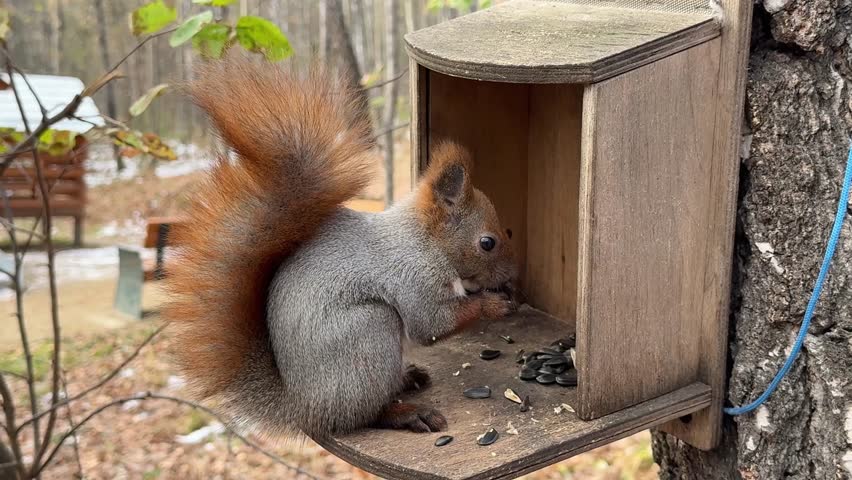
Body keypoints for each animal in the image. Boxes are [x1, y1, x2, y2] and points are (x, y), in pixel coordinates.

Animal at [164, 52, 518, 439]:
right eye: (487, 243)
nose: (513, 275)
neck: (425, 242)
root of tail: (306, 408)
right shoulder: (414, 278)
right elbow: (433, 323)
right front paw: (494, 305)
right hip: (367, 334)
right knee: (362, 415)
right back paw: (407, 413)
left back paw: (408, 378)